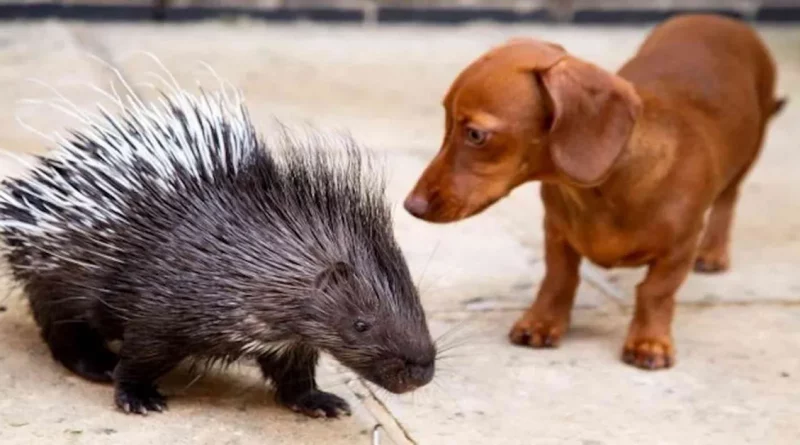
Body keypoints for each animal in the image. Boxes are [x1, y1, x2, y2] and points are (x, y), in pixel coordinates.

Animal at [404, 13, 784, 370]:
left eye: (476, 135)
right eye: (446, 120)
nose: (411, 206)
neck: (601, 191)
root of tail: (721, 19)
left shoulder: (680, 248)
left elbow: (656, 292)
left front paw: (649, 342)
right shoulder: (556, 231)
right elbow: (559, 278)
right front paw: (542, 322)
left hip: (749, 152)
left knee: (728, 200)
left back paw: (714, 252)